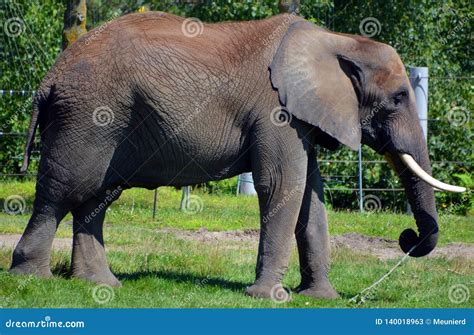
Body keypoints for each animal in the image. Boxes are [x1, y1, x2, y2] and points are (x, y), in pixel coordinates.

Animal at [10, 10, 462, 300]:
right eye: (398, 97)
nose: (407, 238)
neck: (338, 40)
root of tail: (49, 78)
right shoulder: (277, 111)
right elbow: (282, 186)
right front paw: (269, 297)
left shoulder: (302, 117)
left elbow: (310, 197)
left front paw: (322, 298)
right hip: (88, 115)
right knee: (63, 191)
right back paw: (33, 280)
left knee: (96, 199)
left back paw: (100, 286)